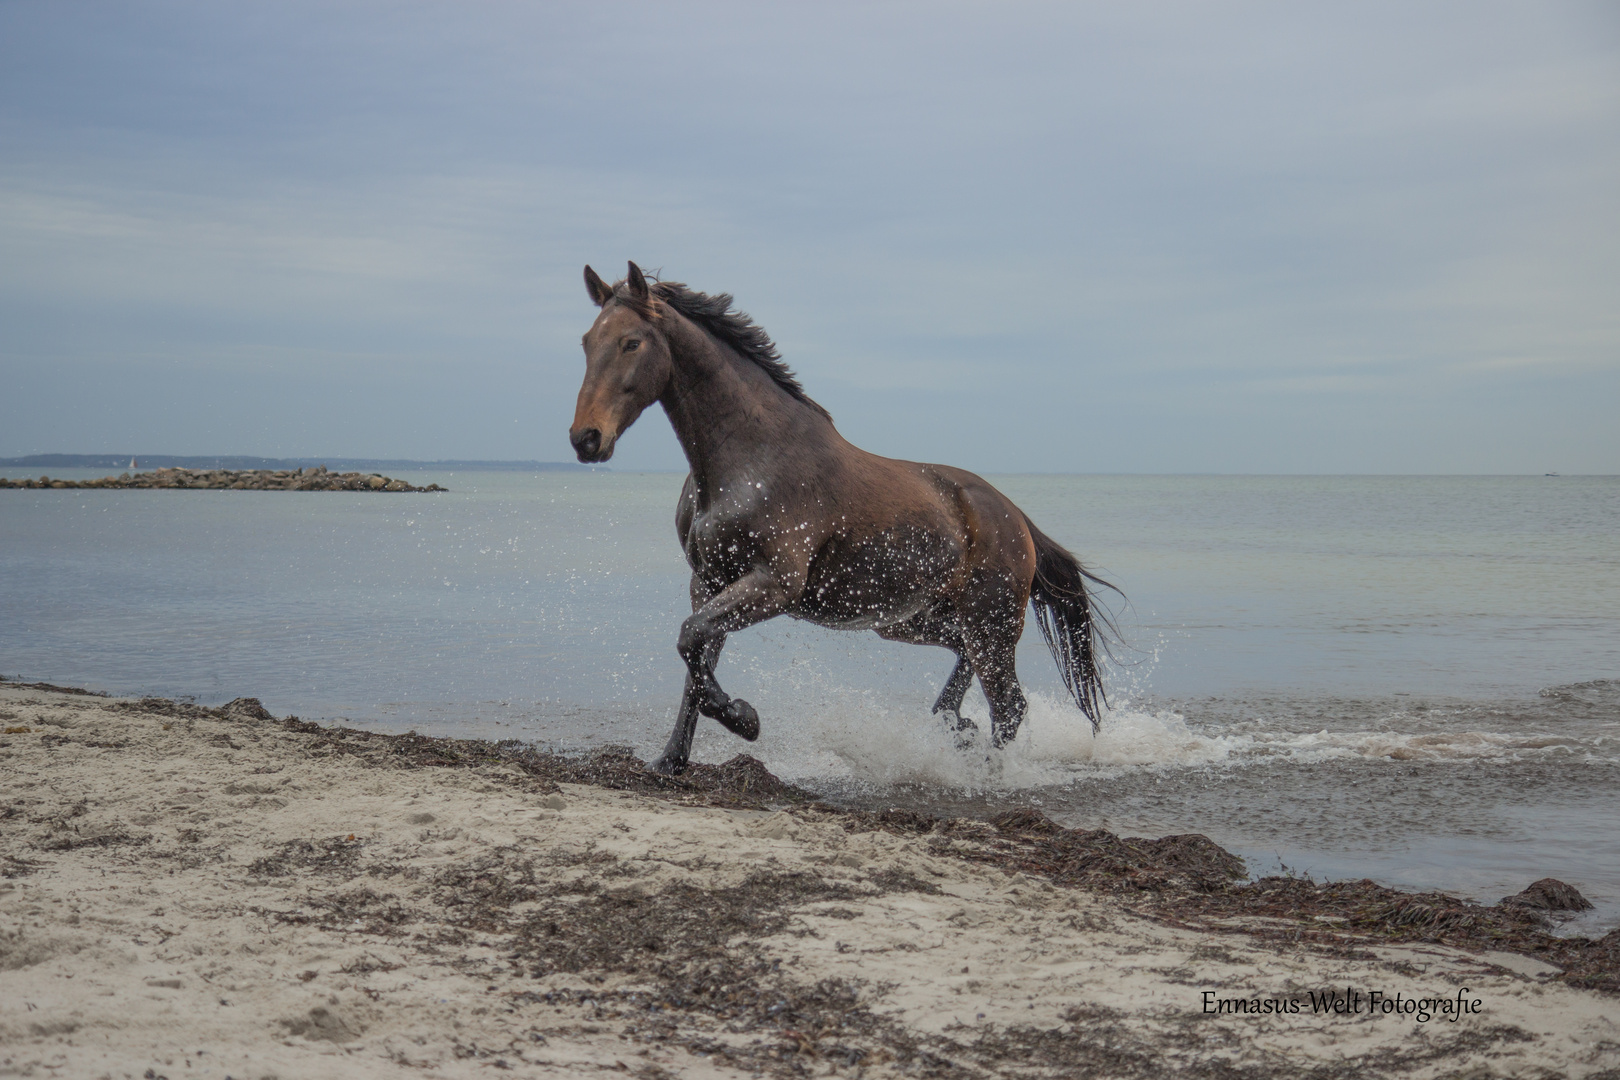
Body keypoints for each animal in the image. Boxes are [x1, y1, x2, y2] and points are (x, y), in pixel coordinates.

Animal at [570, 262, 1114, 777]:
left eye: (631, 342)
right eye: (586, 342)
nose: (585, 438)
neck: (748, 460)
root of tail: (1015, 516)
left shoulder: (772, 584)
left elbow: (690, 641)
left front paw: (745, 719)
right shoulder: (708, 582)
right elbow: (693, 660)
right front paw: (670, 761)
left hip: (990, 624)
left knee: (1010, 707)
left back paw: (984, 772)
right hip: (916, 621)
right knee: (969, 671)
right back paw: (954, 726)